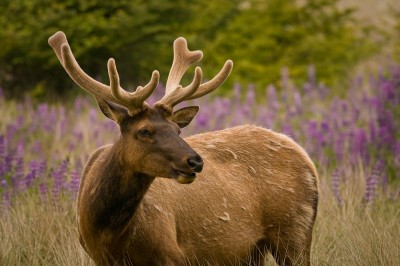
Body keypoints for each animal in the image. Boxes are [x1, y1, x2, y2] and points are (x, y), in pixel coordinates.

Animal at [49, 30, 318, 264]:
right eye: (144, 131)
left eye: (177, 129)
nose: (195, 161)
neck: (108, 234)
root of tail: (307, 159)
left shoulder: (170, 252)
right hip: (254, 250)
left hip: (294, 231)